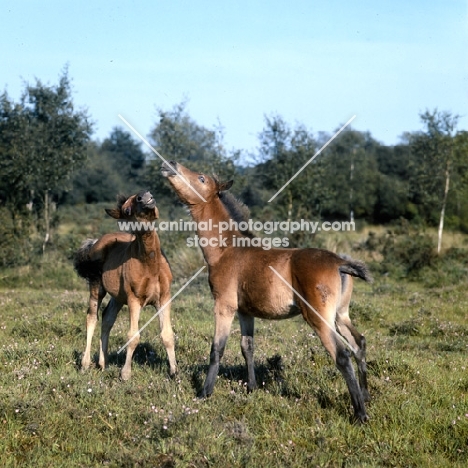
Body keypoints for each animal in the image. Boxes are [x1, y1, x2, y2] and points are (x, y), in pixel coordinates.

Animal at [75, 190, 177, 380]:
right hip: (97, 288)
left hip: (118, 297)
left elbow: (167, 334)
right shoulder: (134, 300)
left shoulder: (164, 299)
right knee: (92, 317)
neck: (150, 266)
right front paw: (125, 373)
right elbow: (133, 336)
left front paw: (174, 371)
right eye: (127, 210)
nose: (144, 196)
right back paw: (85, 364)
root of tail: (95, 241)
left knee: (107, 318)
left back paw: (103, 363)